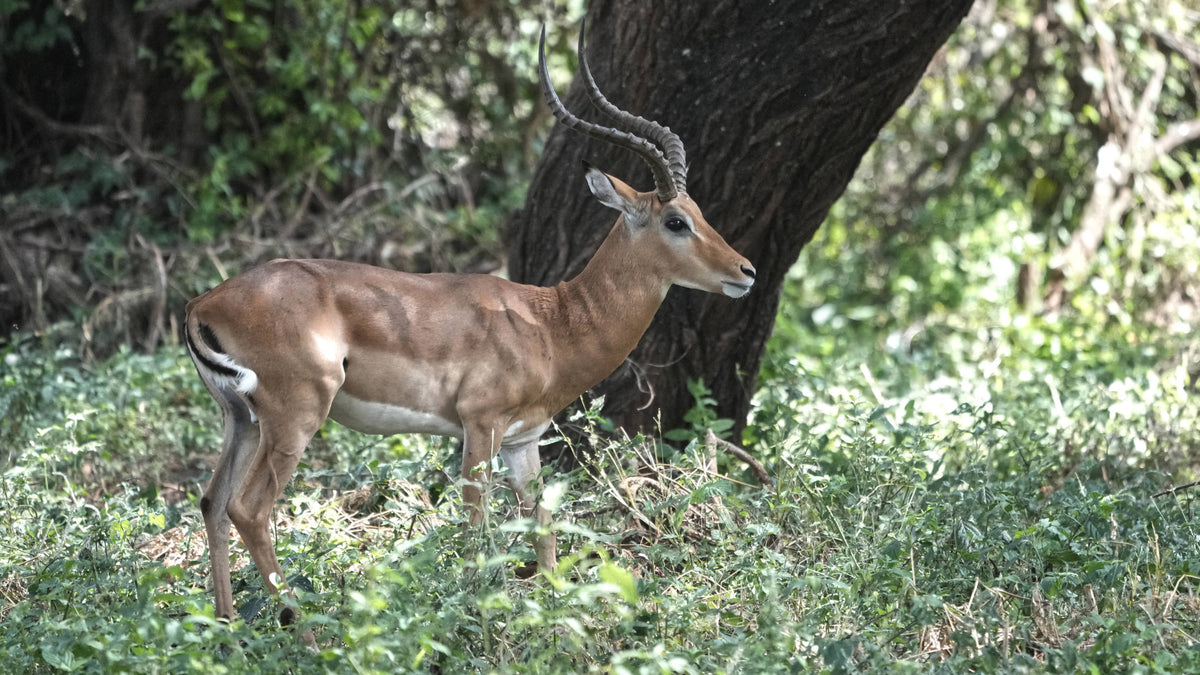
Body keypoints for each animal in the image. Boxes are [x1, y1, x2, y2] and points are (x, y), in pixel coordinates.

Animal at [184, 25, 756, 631]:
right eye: (676, 221)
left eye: (700, 211)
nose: (746, 271)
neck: (551, 322)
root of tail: (203, 302)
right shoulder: (480, 429)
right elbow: (478, 533)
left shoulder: (524, 441)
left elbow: (542, 529)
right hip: (294, 418)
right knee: (249, 509)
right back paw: (305, 633)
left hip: (242, 419)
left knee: (212, 502)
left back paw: (226, 630)